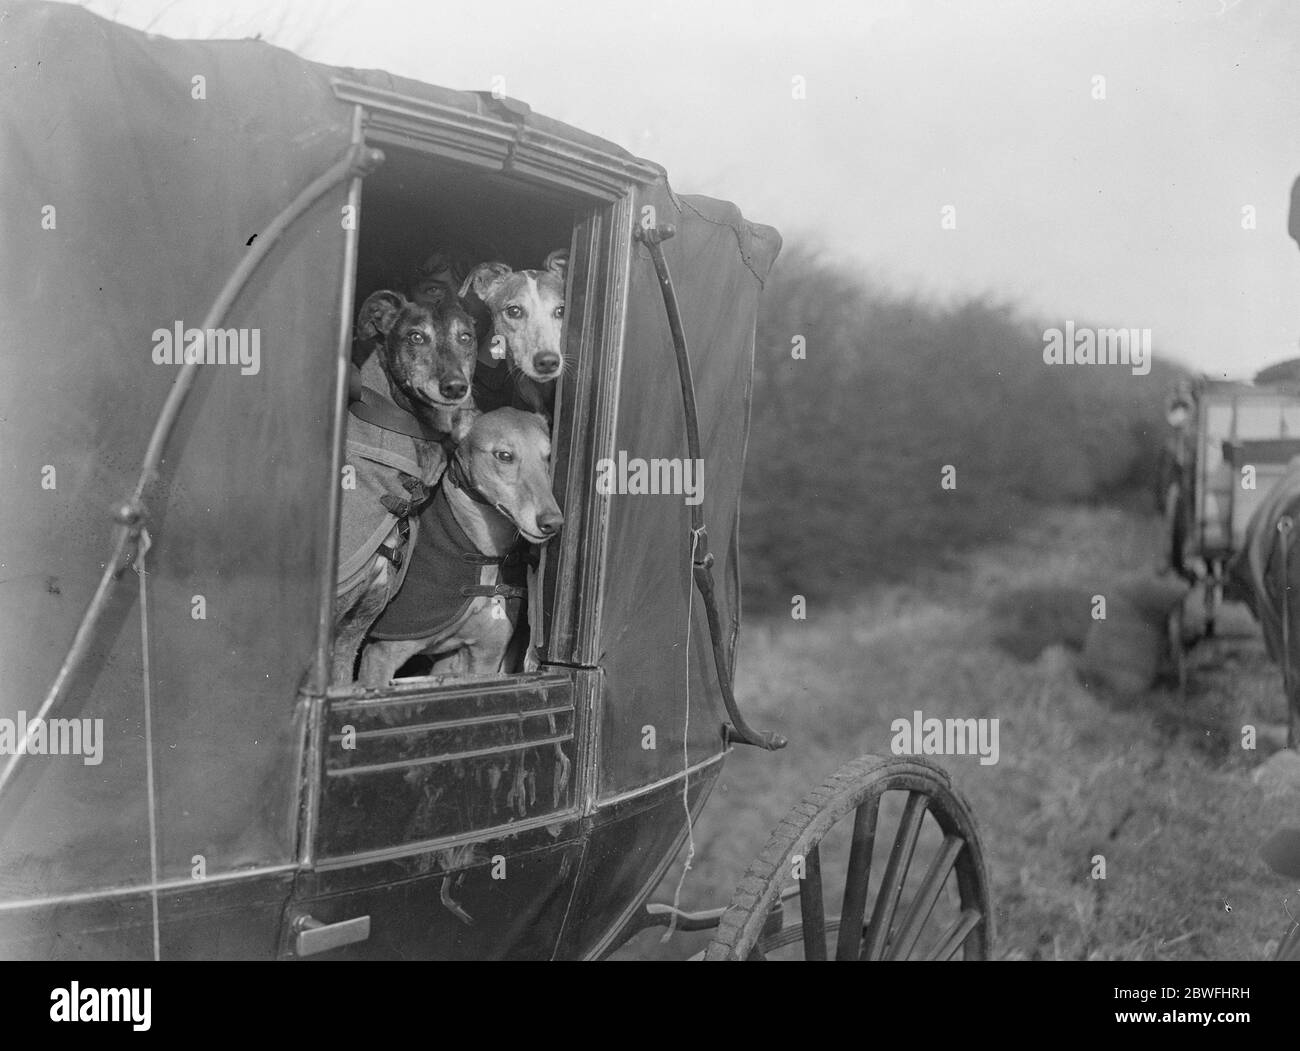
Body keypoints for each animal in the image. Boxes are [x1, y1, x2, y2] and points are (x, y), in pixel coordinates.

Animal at [358, 405, 561, 686]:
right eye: (504, 455)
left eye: (548, 457)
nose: (553, 523)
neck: (483, 553)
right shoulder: (381, 656)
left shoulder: (483, 659)